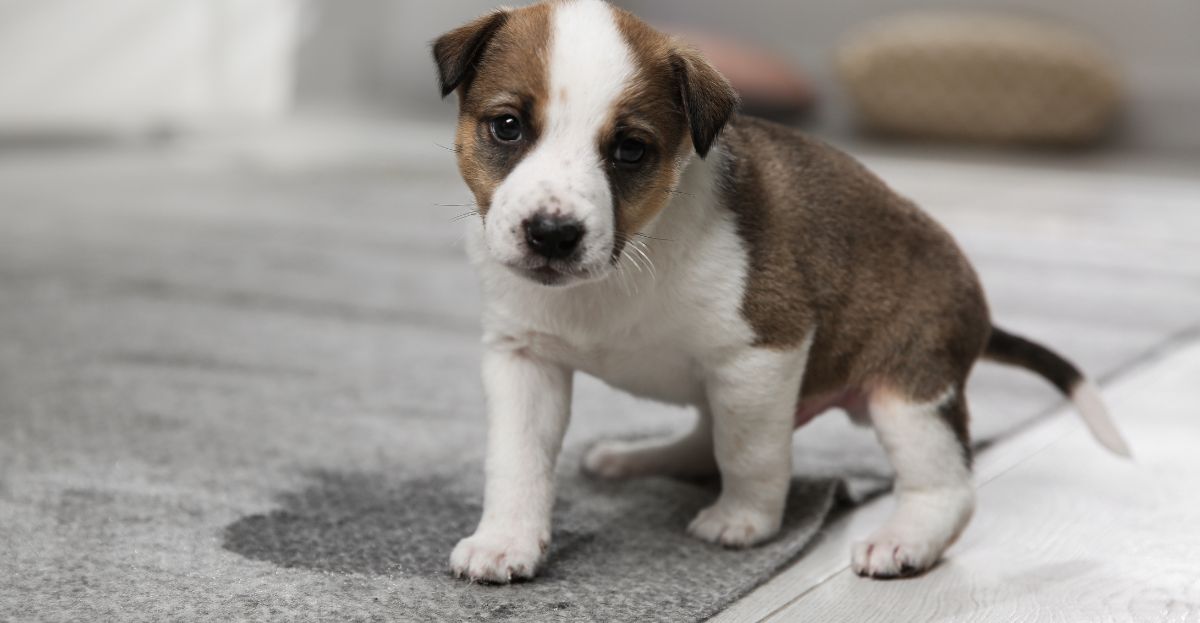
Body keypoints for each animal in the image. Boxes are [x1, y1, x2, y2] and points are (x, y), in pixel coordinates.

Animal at [434, 0, 1132, 585]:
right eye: (507, 126)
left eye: (630, 150)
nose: (553, 235)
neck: (629, 260)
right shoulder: (523, 359)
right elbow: (517, 462)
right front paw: (505, 540)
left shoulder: (762, 355)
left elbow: (750, 453)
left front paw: (745, 520)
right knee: (702, 437)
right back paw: (639, 457)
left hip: (909, 395)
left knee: (946, 487)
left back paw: (905, 539)